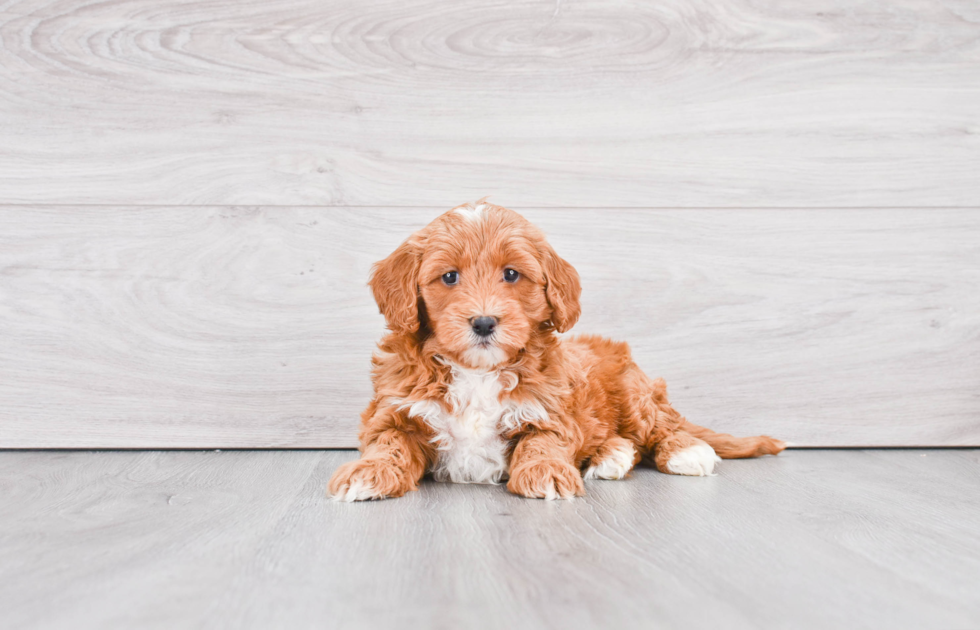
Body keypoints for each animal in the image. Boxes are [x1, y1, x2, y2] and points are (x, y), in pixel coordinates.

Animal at [328, 202, 780, 504]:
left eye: (511, 274)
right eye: (449, 277)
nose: (484, 322)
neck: (476, 371)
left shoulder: (548, 411)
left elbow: (542, 443)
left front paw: (545, 473)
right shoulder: (395, 411)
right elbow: (388, 443)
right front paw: (367, 473)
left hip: (634, 393)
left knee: (659, 426)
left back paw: (684, 450)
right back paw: (612, 455)